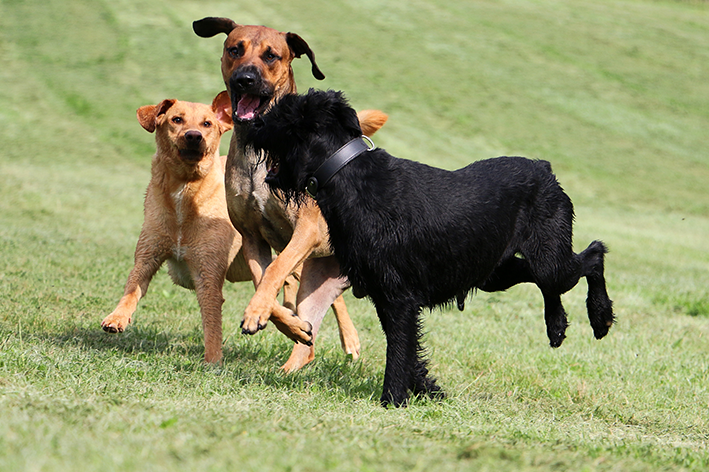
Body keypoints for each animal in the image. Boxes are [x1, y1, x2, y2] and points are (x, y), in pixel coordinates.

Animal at [100, 94, 306, 364]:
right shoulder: (148, 254)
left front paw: (213, 361)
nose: (194, 136)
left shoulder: (208, 273)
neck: (185, 190)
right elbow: (132, 288)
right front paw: (117, 317)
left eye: (207, 123)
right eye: (176, 119)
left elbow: (212, 324)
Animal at [192, 18, 388, 370]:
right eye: (235, 49)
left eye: (271, 56)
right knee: (308, 322)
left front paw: (258, 312)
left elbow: (275, 271)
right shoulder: (252, 237)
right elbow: (264, 280)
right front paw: (287, 323)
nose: (245, 79)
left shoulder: (307, 229)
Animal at [249, 90, 612, 408]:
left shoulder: (398, 299)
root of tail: (544, 169)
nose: (250, 122)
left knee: (593, 256)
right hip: (496, 272)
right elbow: (410, 353)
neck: (348, 175)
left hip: (549, 261)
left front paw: (393, 400)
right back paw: (556, 324)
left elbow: (398, 352)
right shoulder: (388, 298)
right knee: (545, 280)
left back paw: (600, 317)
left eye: (281, 113)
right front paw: (428, 389)